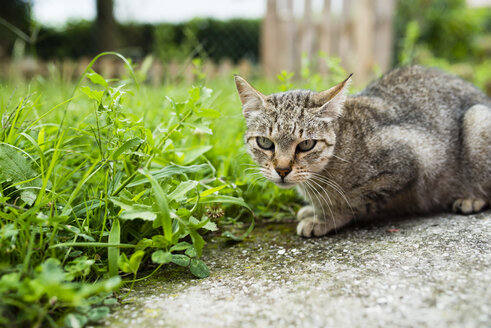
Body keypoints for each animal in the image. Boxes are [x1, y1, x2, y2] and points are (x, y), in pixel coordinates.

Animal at [235, 66, 491, 236]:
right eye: (265, 143)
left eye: (306, 145)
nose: (282, 169)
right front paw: (313, 211)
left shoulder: (412, 164)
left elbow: (355, 203)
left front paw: (325, 218)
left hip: (477, 118)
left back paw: (471, 199)